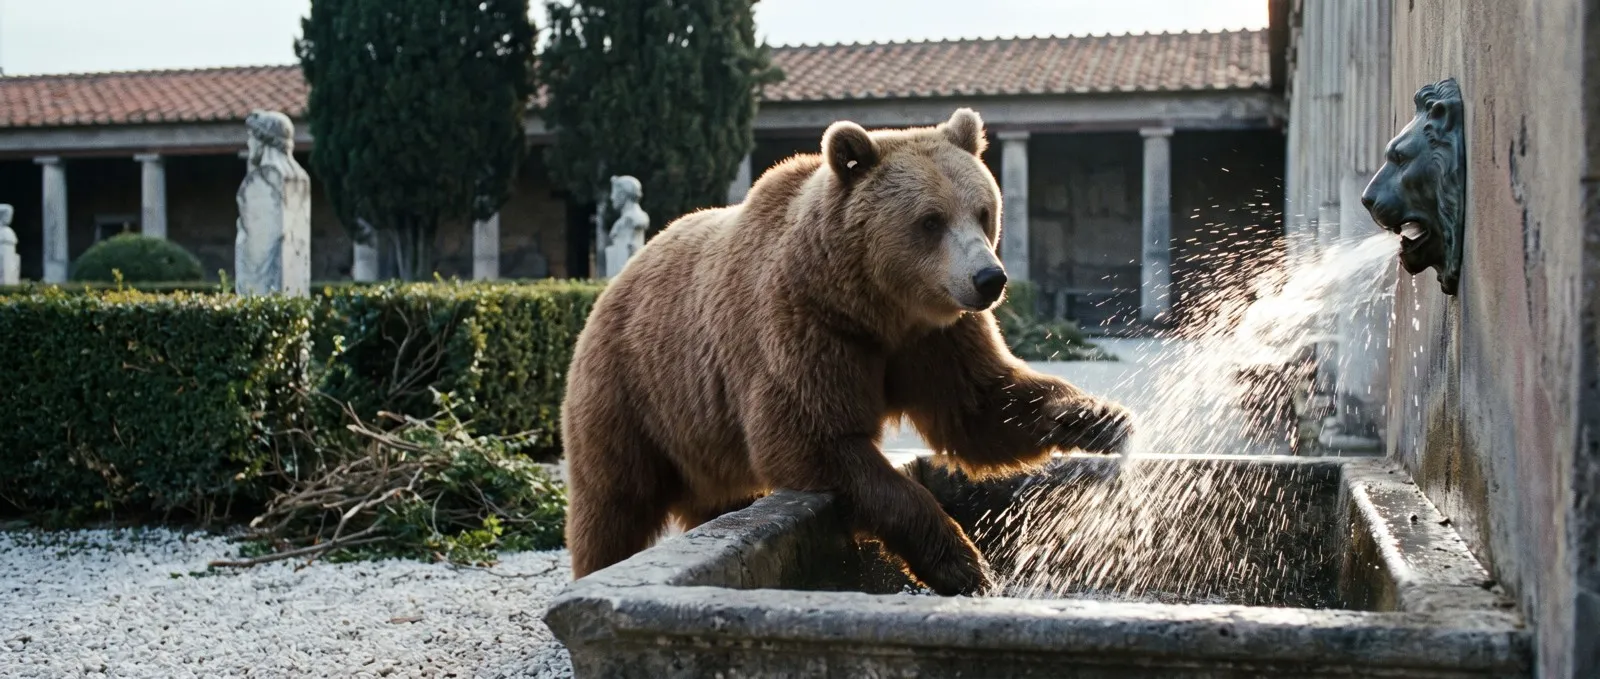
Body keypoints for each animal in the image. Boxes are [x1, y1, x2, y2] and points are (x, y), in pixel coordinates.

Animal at [560, 108, 1133, 596]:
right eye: (931, 220)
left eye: (983, 211)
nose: (989, 278)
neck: (878, 307)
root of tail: (617, 280)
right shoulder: (806, 327)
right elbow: (819, 440)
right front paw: (960, 560)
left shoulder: (934, 340)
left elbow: (980, 407)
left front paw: (1100, 418)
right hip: (634, 393)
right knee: (614, 504)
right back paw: (602, 564)